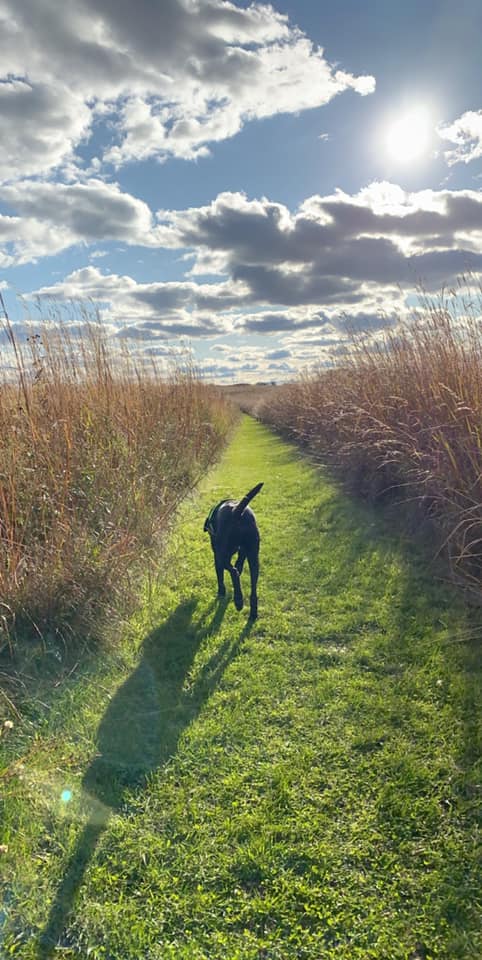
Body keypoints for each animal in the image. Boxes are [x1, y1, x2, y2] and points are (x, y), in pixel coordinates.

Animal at [203, 484, 264, 620]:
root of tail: (236, 511)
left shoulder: (217, 558)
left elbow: (220, 577)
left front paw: (221, 592)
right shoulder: (243, 552)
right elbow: (239, 565)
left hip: (222, 556)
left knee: (234, 573)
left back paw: (238, 601)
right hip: (254, 558)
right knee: (253, 588)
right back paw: (253, 612)